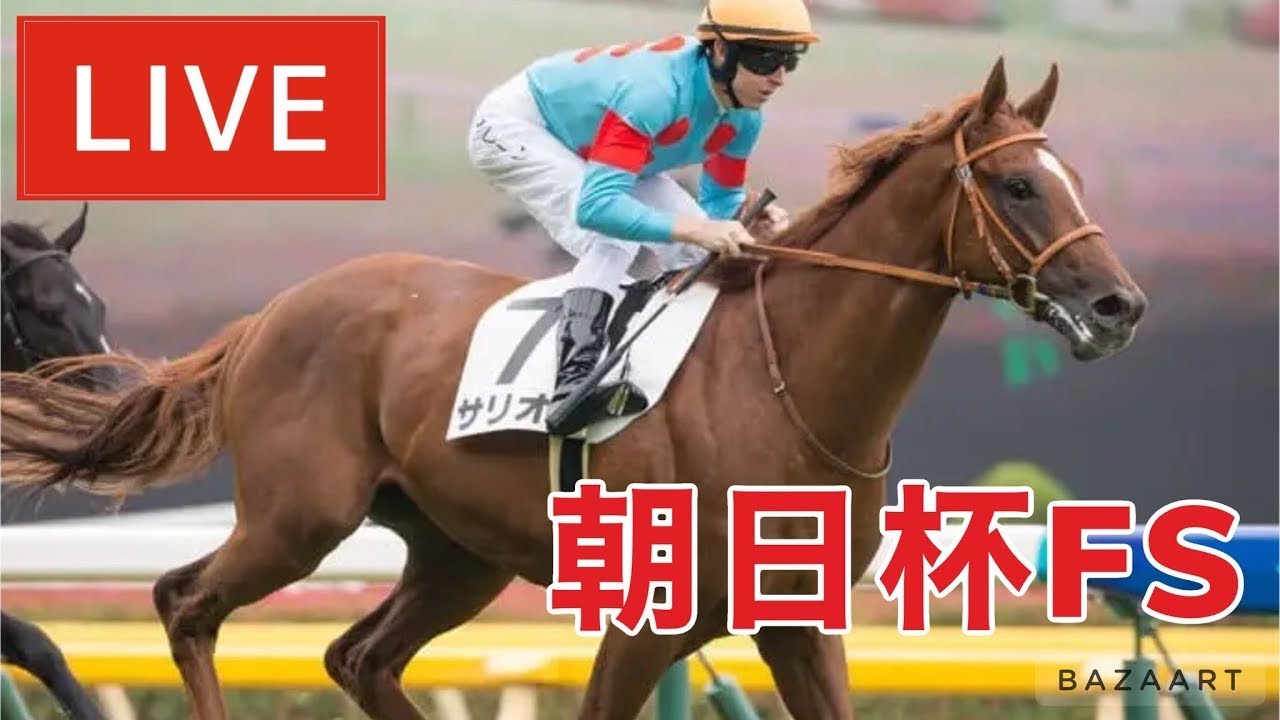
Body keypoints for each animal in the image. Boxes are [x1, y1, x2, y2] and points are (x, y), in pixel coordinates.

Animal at [0, 58, 1146, 720]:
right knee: (184, 601)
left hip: (454, 554)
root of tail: (269, 316)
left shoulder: (797, 620)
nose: (1118, 305)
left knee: (359, 658)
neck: (788, 387)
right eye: (1017, 185)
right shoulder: (645, 621)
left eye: (1074, 179)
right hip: (298, 517)